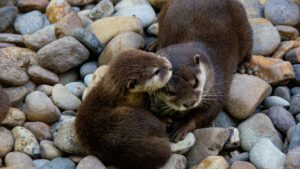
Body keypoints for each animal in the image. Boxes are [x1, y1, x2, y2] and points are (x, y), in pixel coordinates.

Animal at [149, 0, 252, 141]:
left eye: (195, 83)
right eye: (170, 91)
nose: (189, 103)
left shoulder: (218, 84)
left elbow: (210, 110)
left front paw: (183, 125)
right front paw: (163, 118)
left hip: (242, 22)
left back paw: (244, 66)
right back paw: (154, 44)